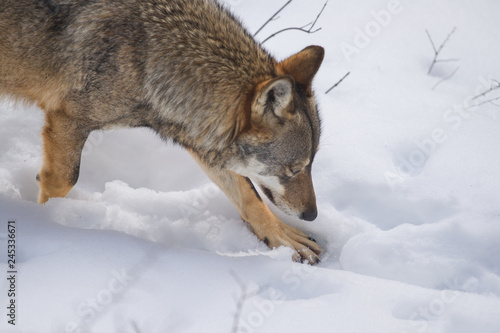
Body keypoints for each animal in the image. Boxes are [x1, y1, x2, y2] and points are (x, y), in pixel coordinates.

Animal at [0, 0, 326, 264]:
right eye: (294, 169)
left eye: (311, 165)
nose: (312, 215)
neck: (149, 54)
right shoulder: (68, 119)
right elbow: (62, 181)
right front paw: (49, 224)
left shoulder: (199, 135)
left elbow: (249, 197)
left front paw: (281, 236)